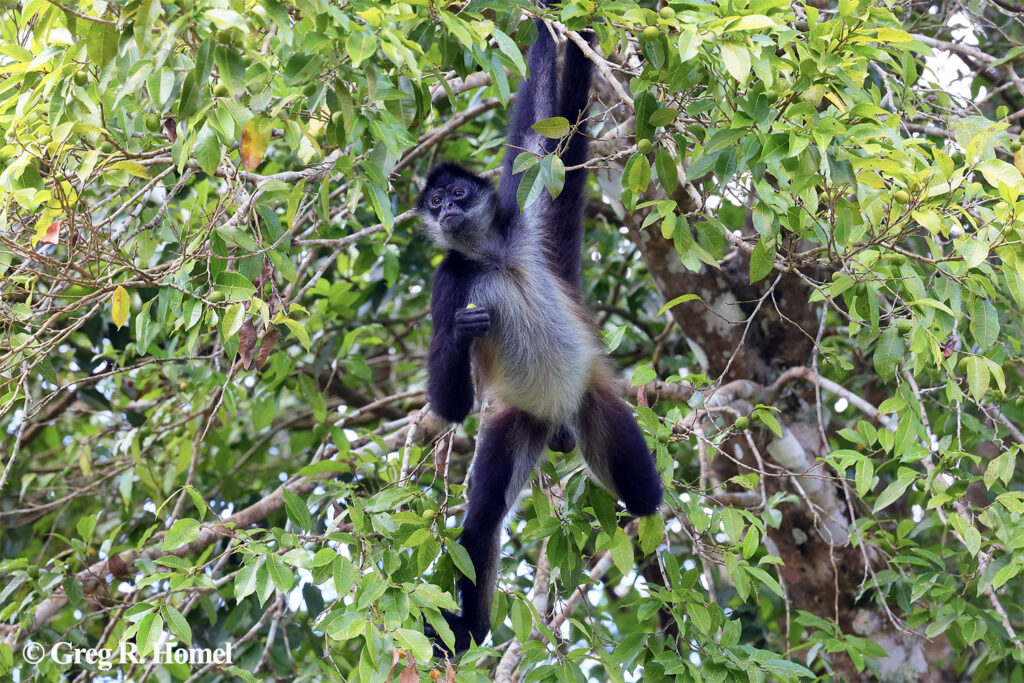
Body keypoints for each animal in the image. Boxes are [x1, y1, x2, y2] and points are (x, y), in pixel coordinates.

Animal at [414, 6, 663, 655]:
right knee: (481, 523)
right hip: (516, 421)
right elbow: (451, 406)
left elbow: (548, 125)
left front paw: (558, 23)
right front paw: (462, 332)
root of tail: (557, 423)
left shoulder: (521, 217)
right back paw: (465, 632)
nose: (447, 210)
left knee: (644, 493)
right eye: (434, 204)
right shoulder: (448, 280)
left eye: (456, 193)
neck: (493, 257)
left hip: (593, 401)